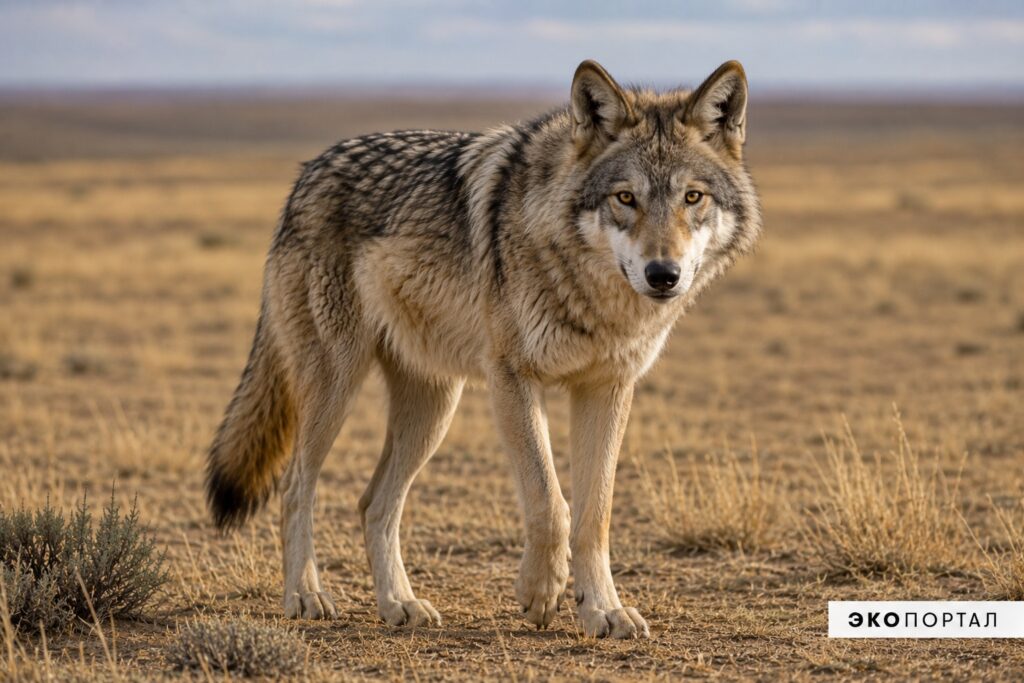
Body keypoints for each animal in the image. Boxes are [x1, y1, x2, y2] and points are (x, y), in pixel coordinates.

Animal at [205, 59, 762, 639]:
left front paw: (602, 609)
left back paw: (399, 603)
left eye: (692, 198)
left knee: (373, 502)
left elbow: (595, 515)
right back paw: (305, 595)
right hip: (337, 387)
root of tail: (307, 173)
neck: (592, 299)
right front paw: (541, 592)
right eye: (625, 198)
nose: (663, 274)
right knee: (296, 486)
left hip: (433, 409)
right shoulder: (511, 379)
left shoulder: (606, 388)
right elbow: (549, 503)